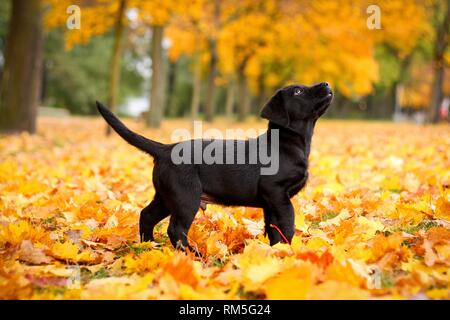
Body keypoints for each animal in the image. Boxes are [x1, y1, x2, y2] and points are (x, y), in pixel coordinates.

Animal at [96, 82, 332, 250]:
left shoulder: (270, 203)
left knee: (146, 215)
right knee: (176, 229)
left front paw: (275, 250)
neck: (288, 143)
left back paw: (149, 244)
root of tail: (165, 149)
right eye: (298, 91)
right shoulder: (277, 193)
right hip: (186, 197)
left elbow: (273, 227)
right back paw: (192, 254)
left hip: (166, 196)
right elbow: (287, 223)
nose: (327, 84)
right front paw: (287, 251)